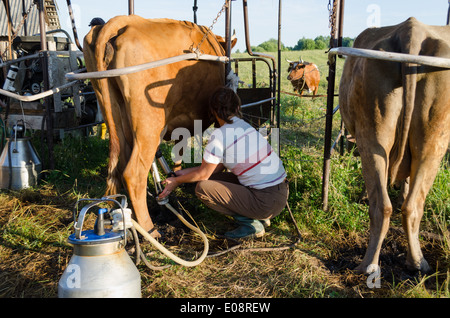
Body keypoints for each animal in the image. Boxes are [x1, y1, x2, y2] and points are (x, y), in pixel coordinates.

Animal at [82, 16, 236, 235]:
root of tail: (120, 21)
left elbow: (178, 155)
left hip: (112, 110)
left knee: (121, 164)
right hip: (148, 124)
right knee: (133, 173)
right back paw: (149, 228)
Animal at [340, 17, 448, 274]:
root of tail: (412, 28)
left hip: (374, 136)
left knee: (384, 205)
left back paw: (369, 265)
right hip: (432, 141)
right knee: (411, 206)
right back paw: (415, 262)